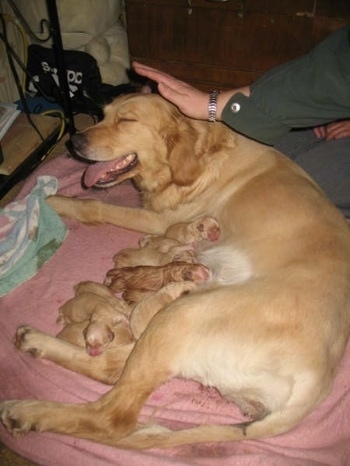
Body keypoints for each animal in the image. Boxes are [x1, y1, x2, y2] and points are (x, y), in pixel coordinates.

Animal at [0, 93, 350, 450]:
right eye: (103, 114)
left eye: (127, 120)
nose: (74, 141)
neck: (199, 154)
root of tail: (313, 389)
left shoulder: (161, 221)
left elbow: (96, 206)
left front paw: (57, 201)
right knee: (110, 367)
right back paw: (35, 342)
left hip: (180, 317)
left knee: (111, 414)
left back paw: (28, 411)